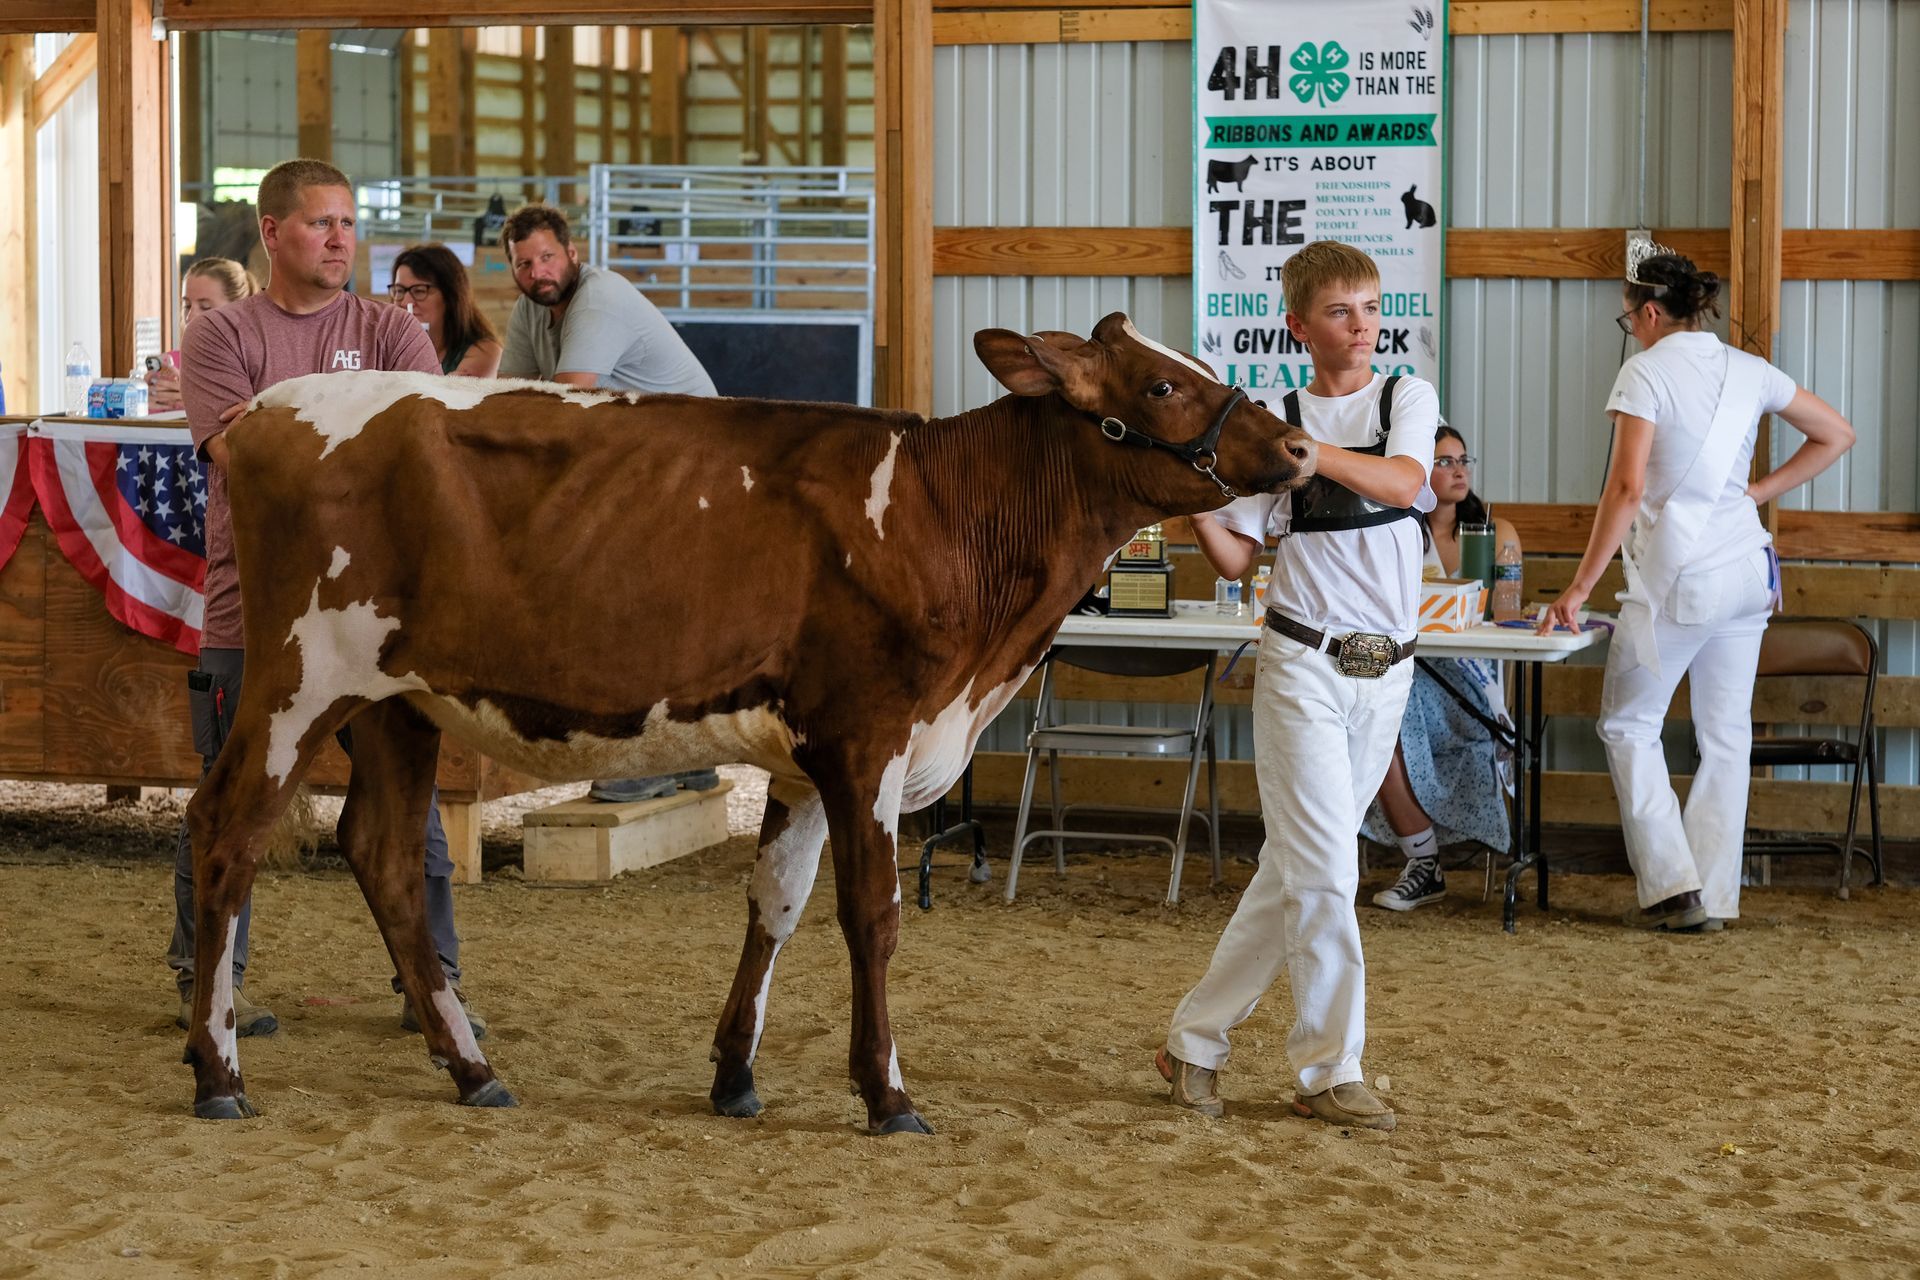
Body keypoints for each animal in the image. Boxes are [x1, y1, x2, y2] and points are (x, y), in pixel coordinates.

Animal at [178, 312, 1316, 1135]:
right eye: (1162, 385)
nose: (1301, 444)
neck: (942, 514)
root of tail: (263, 414)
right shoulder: (867, 736)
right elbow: (872, 916)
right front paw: (888, 1092)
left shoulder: (807, 757)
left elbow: (775, 902)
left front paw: (735, 1075)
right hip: (295, 680)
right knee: (225, 830)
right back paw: (219, 1072)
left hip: (396, 703)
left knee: (382, 855)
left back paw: (470, 1068)